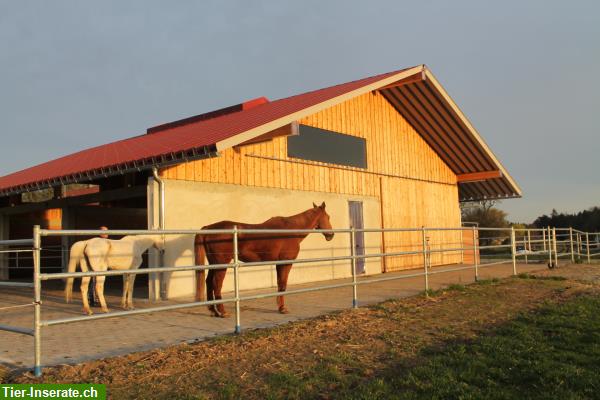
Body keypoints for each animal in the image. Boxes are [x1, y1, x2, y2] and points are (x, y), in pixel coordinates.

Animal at [193, 202, 332, 318]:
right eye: (328, 217)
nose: (330, 235)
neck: (292, 230)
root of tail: (208, 228)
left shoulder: (278, 263)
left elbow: (279, 284)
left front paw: (280, 307)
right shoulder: (286, 262)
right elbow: (283, 285)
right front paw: (283, 308)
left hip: (214, 263)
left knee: (209, 282)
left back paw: (213, 311)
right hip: (221, 264)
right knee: (216, 285)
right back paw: (222, 312)